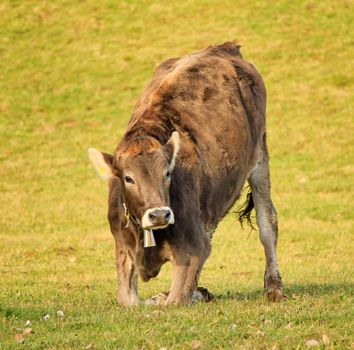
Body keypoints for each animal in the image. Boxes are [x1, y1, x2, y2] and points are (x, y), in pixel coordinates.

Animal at [88, 41, 284, 304]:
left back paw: (274, 287)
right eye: (128, 178)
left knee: (267, 222)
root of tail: (222, 48)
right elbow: (130, 301)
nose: (159, 214)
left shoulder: (191, 249)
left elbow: (173, 300)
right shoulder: (122, 248)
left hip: (260, 154)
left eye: (167, 174)